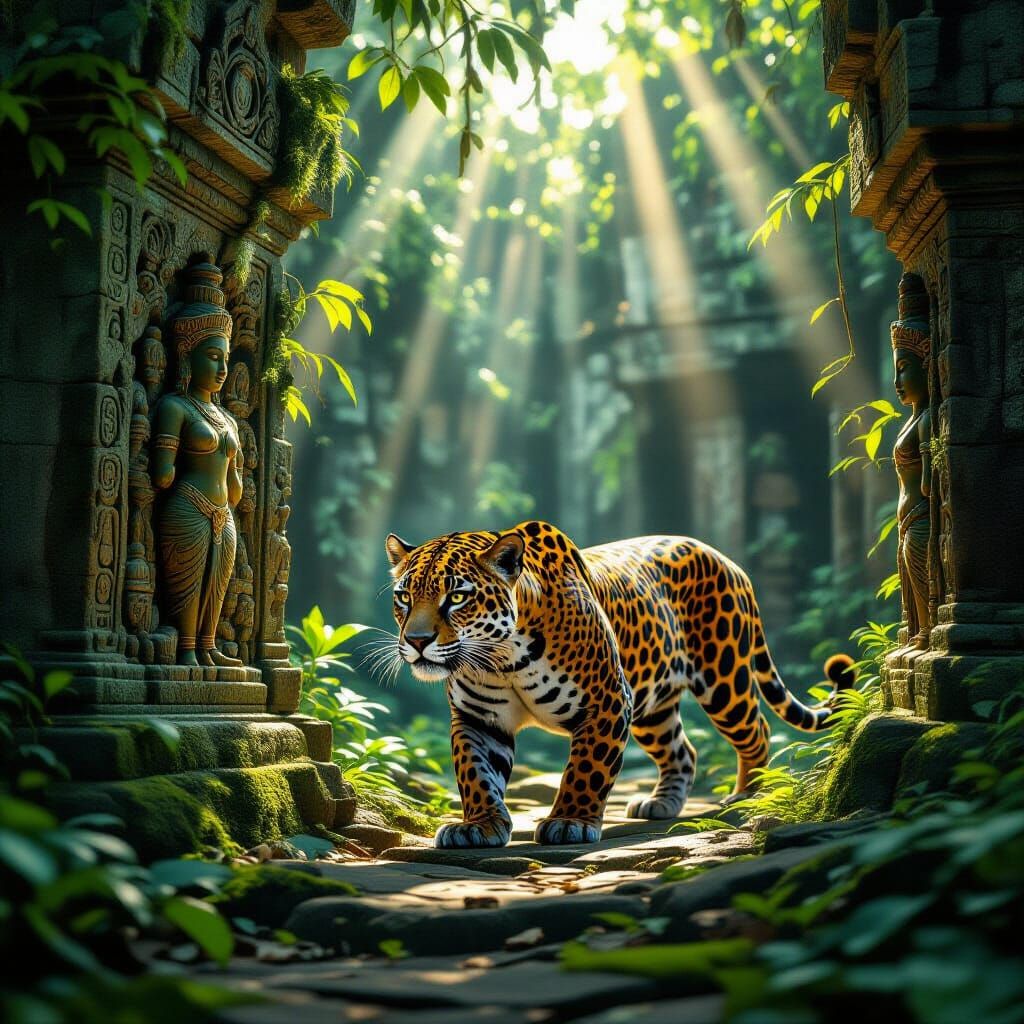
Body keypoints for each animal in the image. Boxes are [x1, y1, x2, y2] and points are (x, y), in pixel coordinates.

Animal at [384, 520, 854, 849]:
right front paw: (479, 826)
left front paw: (569, 822)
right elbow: (475, 774)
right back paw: (660, 803)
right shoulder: (478, 718)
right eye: (404, 597)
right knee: (683, 750)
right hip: (652, 704)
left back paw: (746, 798)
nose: (417, 641)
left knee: (756, 731)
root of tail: (728, 560)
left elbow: (586, 768)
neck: (501, 659)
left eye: (457, 597)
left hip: (723, 678)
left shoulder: (607, 701)